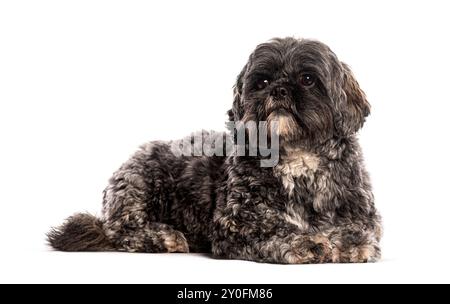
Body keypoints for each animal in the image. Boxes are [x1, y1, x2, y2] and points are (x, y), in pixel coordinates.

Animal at [48, 37, 380, 264]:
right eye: (263, 81)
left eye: (308, 79)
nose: (279, 90)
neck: (297, 157)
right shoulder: (235, 223)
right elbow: (274, 230)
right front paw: (305, 242)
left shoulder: (363, 214)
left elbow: (360, 231)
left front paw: (348, 241)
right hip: (140, 181)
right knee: (119, 231)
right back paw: (163, 236)